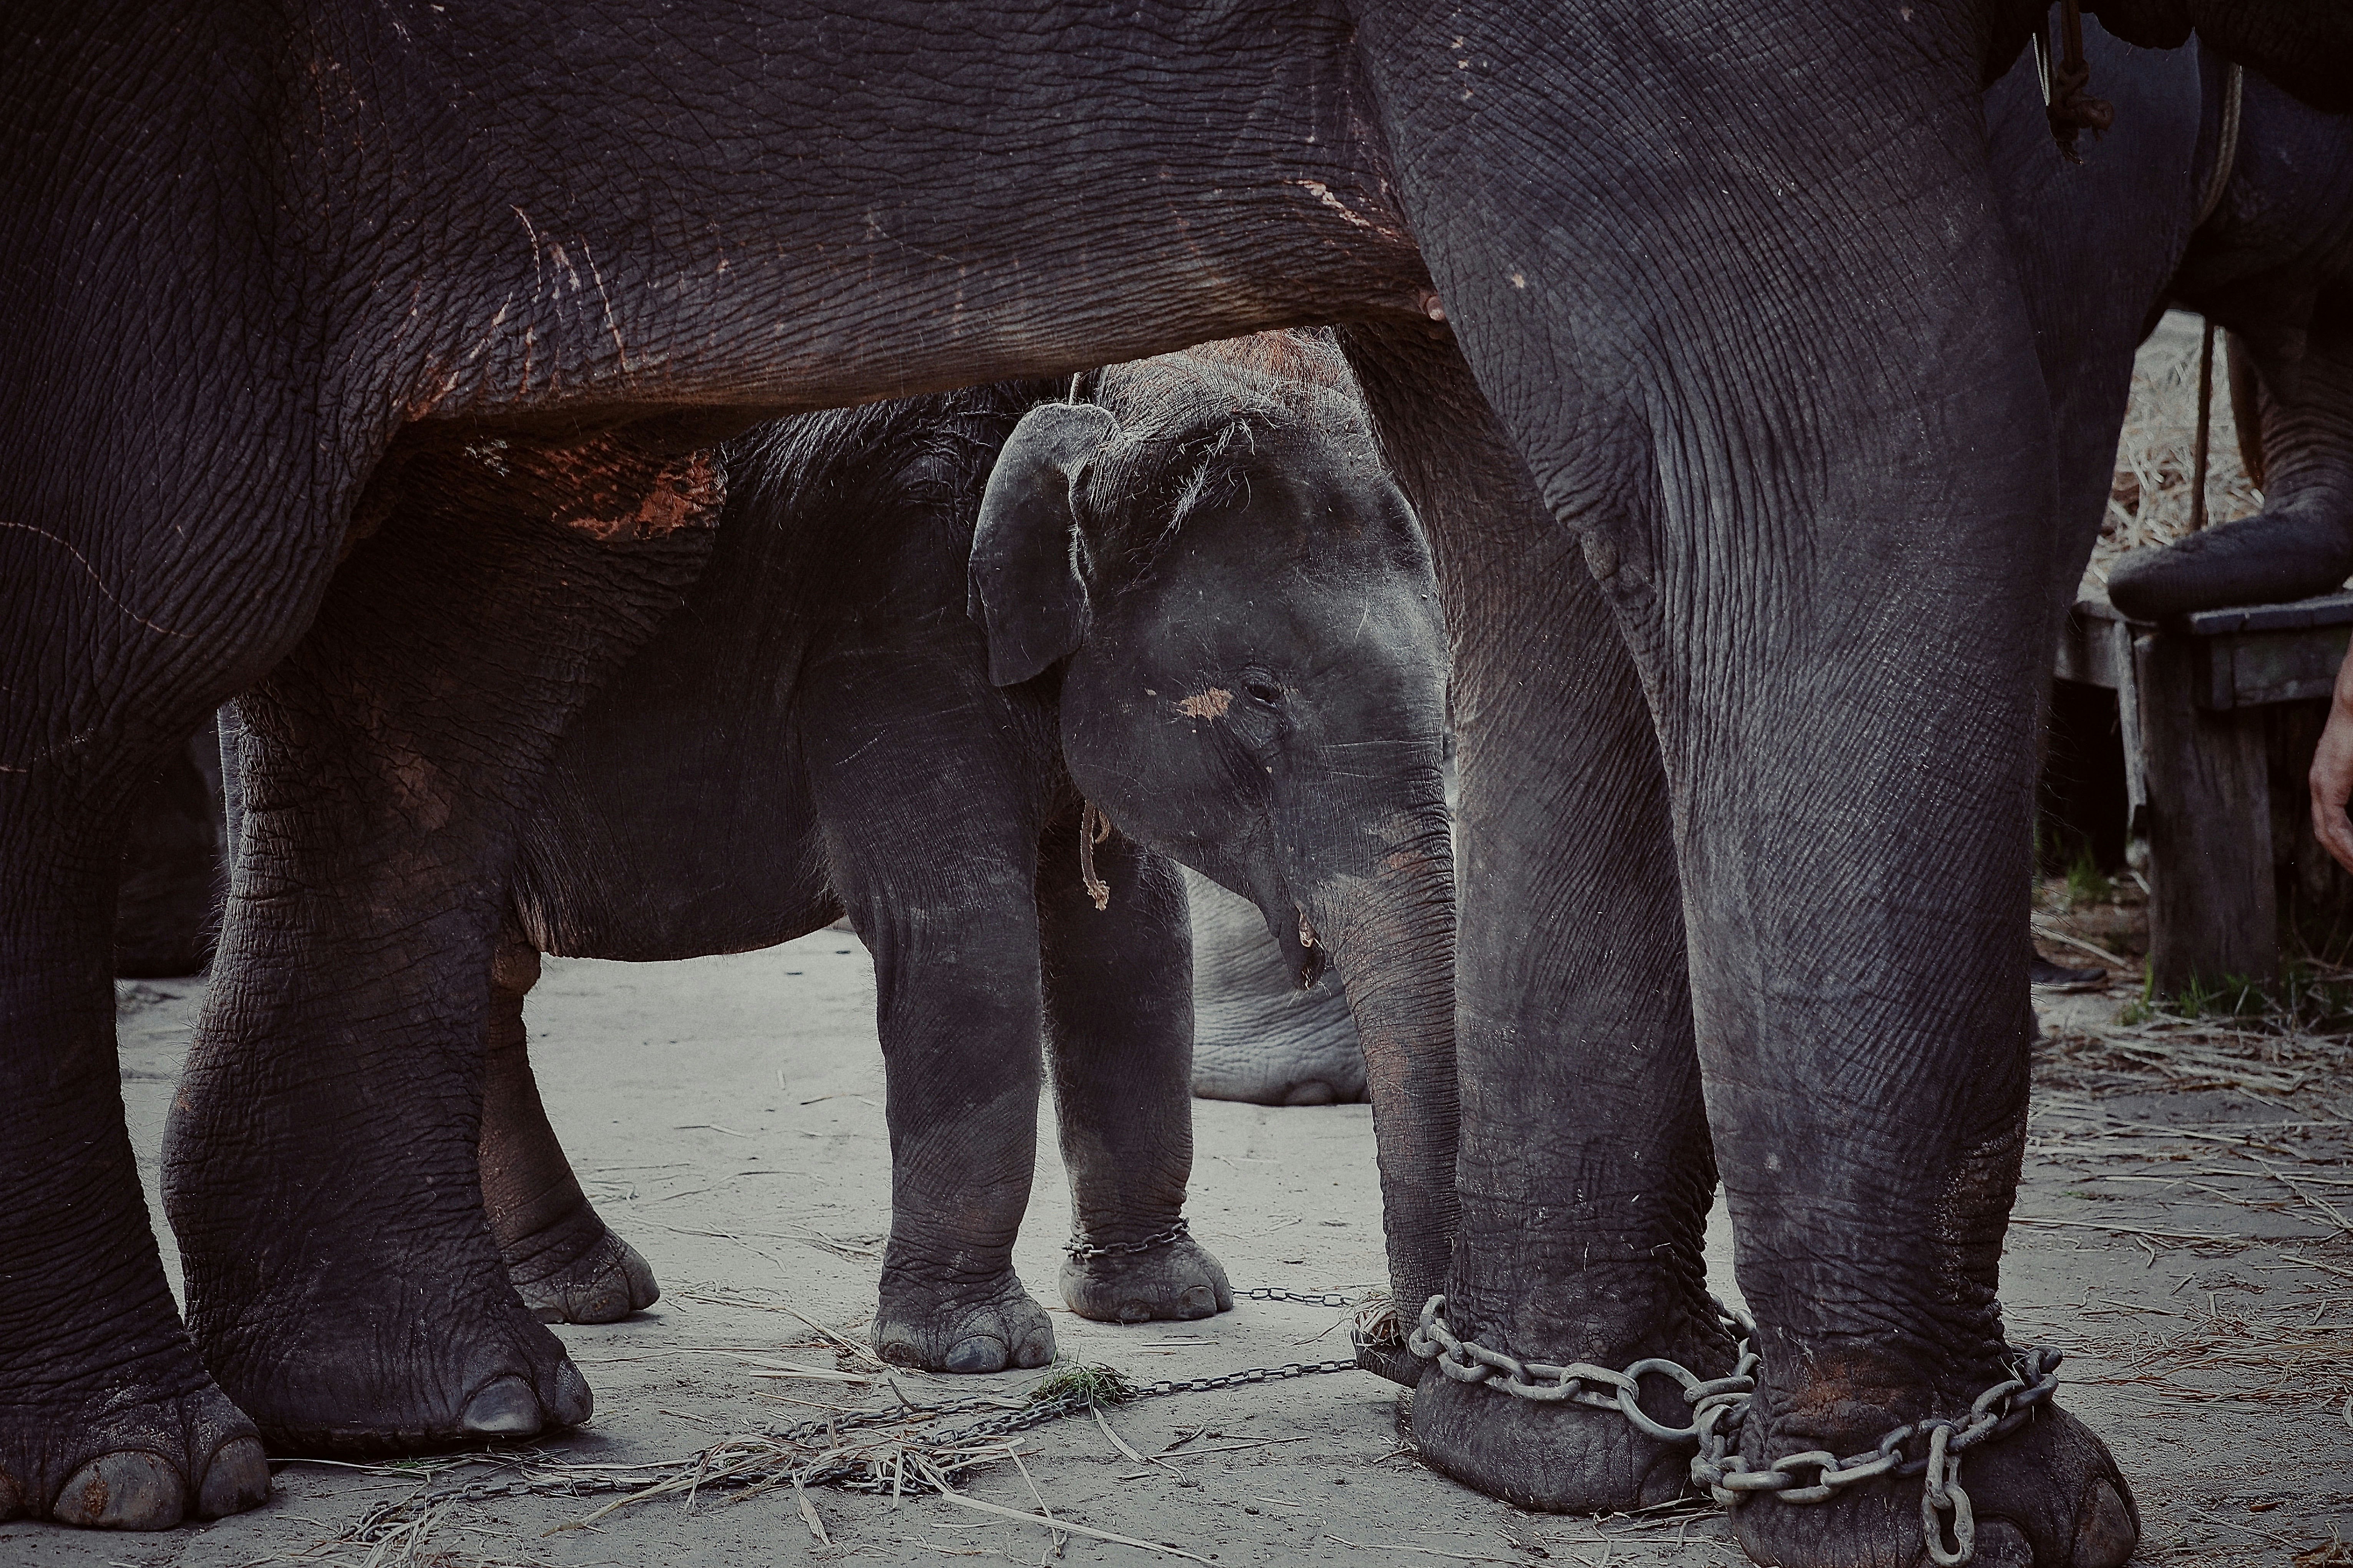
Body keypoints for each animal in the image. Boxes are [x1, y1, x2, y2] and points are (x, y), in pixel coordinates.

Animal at [464, 330, 1451, 1379]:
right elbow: (964, 931)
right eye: (1262, 691)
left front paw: (1164, 1303)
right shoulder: (890, 630)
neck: (1091, 396)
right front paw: (977, 1352)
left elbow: (1131, 942)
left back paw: (584, 1291)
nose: (1388, 1337)